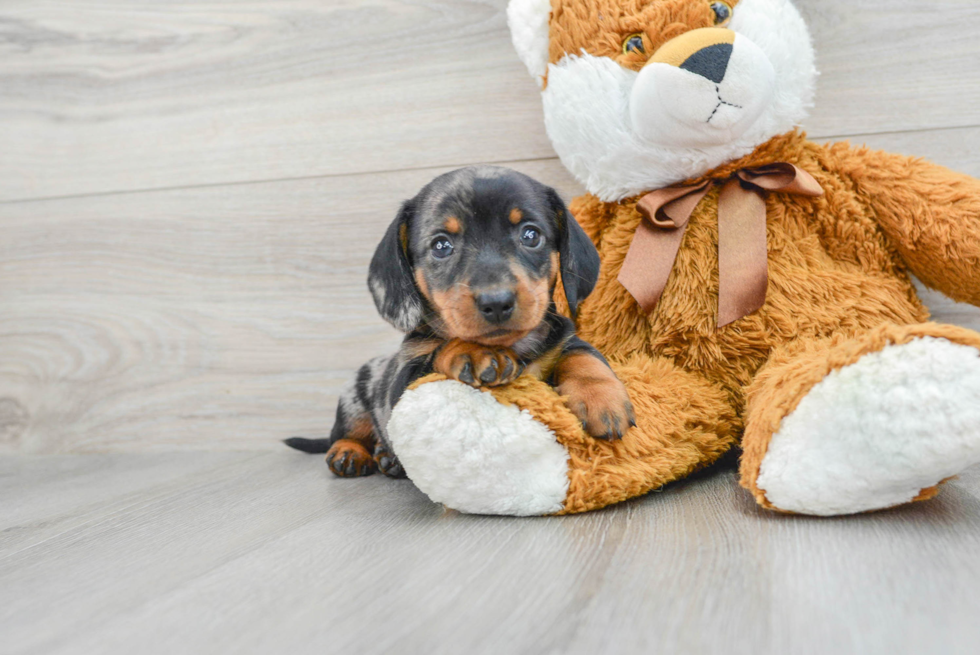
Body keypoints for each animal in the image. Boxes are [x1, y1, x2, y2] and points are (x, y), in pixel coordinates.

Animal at [288, 167, 632, 480]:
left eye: (531, 235)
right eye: (441, 245)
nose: (496, 302)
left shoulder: (564, 338)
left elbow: (582, 355)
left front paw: (601, 398)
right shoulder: (403, 386)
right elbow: (439, 350)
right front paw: (475, 352)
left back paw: (387, 458)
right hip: (353, 401)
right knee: (347, 433)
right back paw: (350, 453)